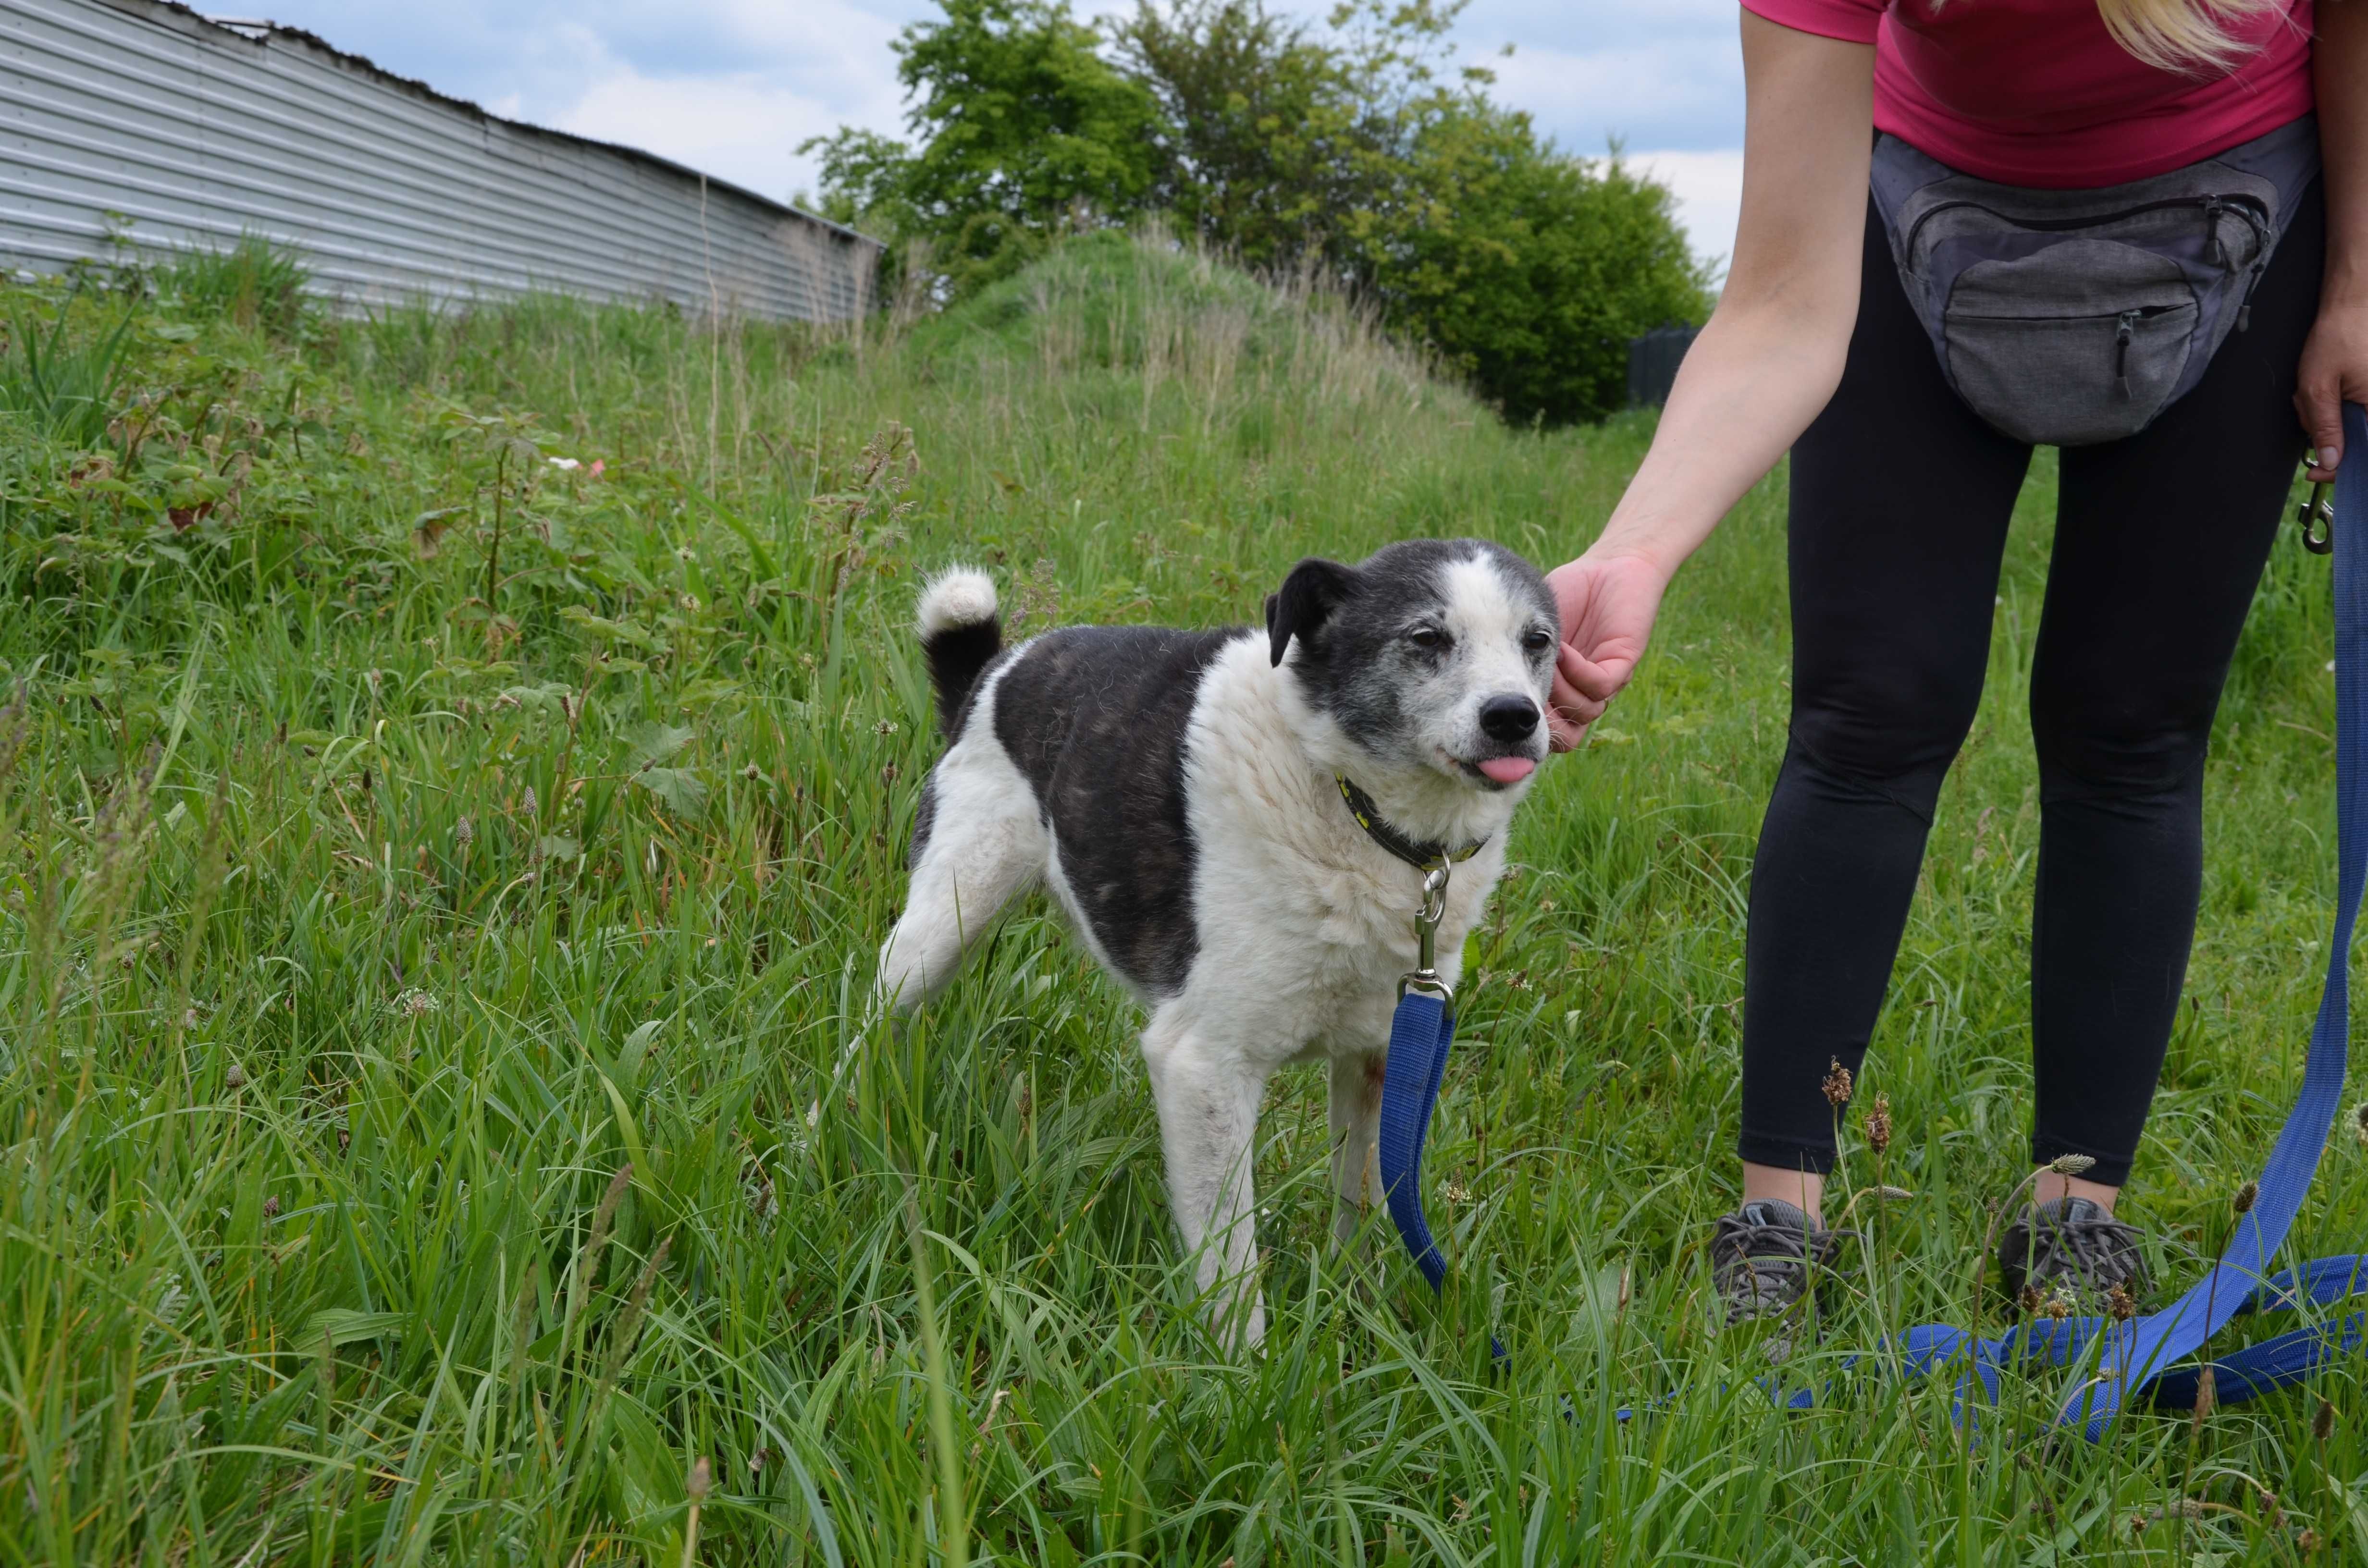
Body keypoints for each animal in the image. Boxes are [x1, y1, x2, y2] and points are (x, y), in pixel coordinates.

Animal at [881, 545, 1563, 1355]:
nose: (1515, 717)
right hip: (939, 926)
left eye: (1537, 642)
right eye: (1427, 638)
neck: (1353, 807)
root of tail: (1000, 666)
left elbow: (1364, 1199)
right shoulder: (1203, 1066)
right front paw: (1246, 1372)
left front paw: (1358, 1318)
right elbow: (1232, 1266)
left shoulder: (1382, 1052)